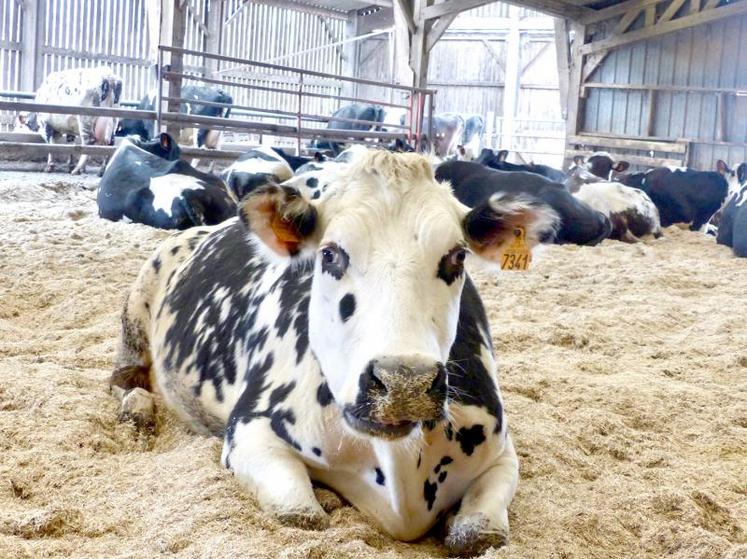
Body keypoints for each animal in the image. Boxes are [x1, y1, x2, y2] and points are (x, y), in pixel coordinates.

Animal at [109, 150, 560, 555]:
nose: (404, 384)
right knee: (124, 378)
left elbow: (480, 534)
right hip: (138, 302)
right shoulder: (250, 428)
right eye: (329, 254)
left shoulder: (500, 451)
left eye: (457, 256)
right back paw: (137, 410)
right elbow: (300, 514)